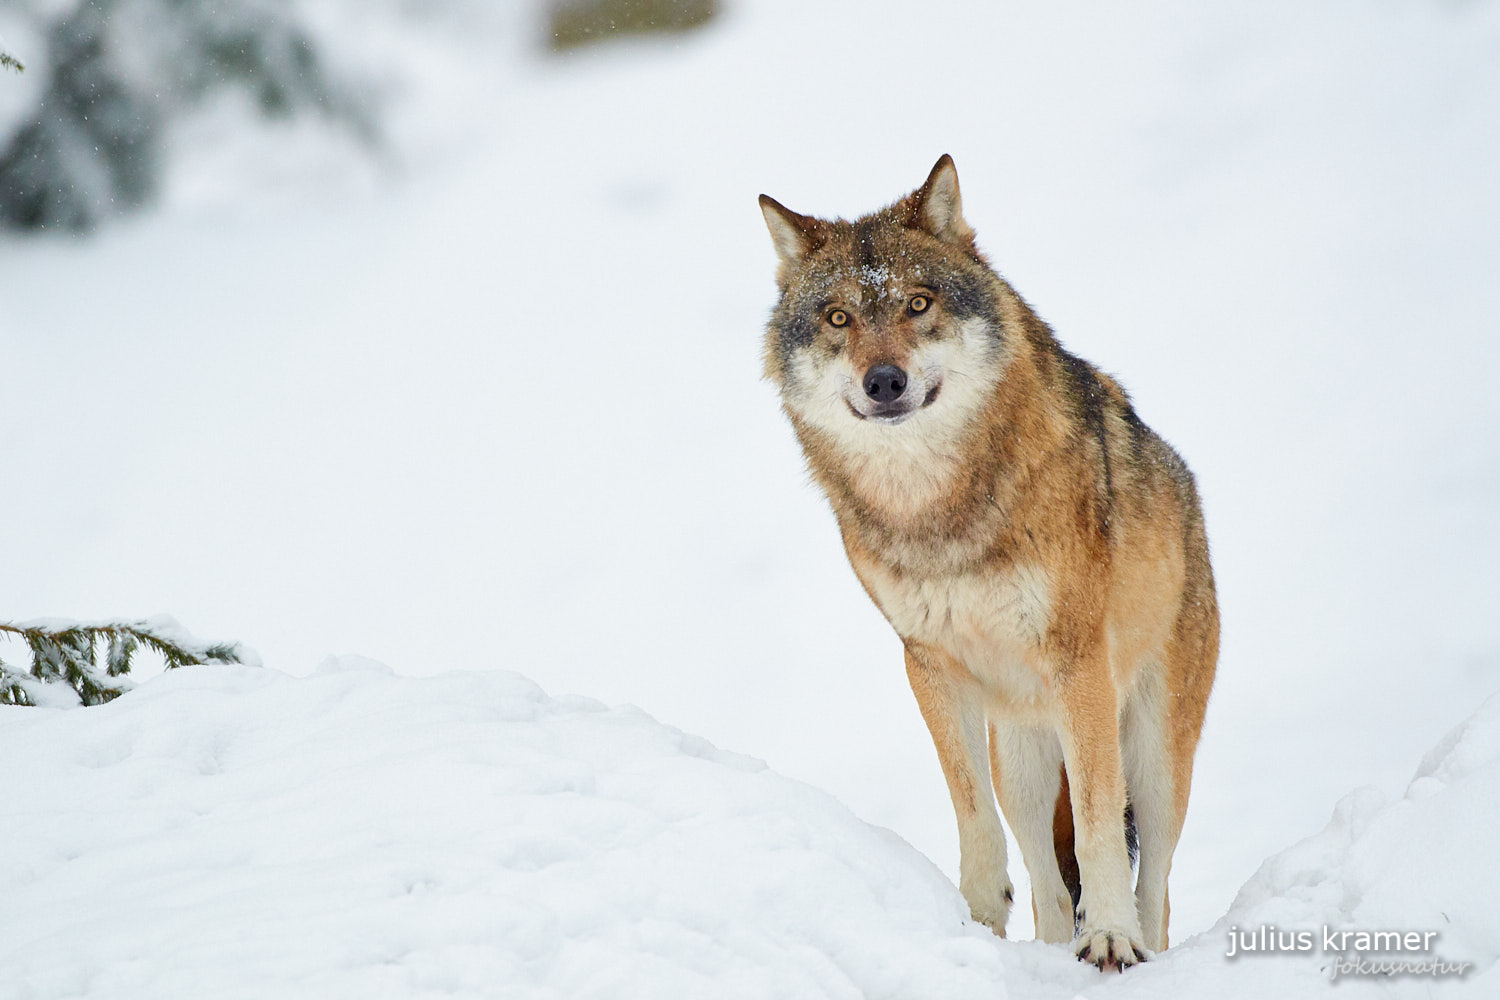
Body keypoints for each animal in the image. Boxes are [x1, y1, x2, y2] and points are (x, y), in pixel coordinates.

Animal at [762, 156, 1218, 971]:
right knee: (1046, 881)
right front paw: (974, 921)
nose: (885, 382)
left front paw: (1109, 936)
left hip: (1155, 758)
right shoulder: (928, 664)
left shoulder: (1080, 665)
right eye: (839, 319)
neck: (938, 516)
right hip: (1025, 763)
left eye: (918, 303)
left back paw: (1138, 944)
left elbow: (1099, 826)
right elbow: (971, 812)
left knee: (1156, 881)